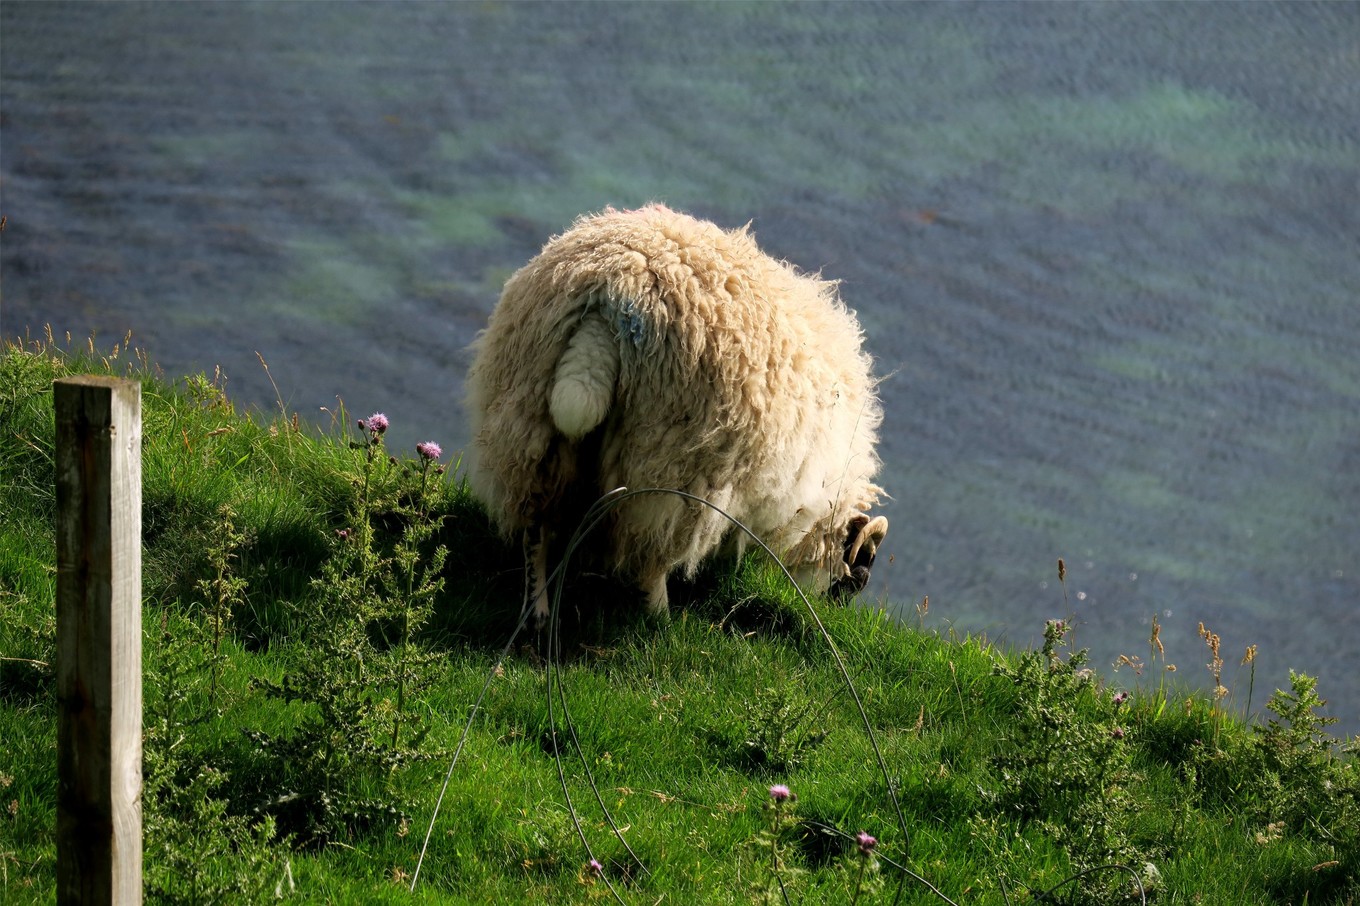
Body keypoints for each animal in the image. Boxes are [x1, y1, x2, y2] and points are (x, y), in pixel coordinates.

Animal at [465, 202, 892, 620]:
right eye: (857, 570)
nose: (831, 612)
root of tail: (613, 294)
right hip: (673, 466)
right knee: (654, 551)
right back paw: (660, 615)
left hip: (532, 425)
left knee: (536, 524)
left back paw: (537, 610)